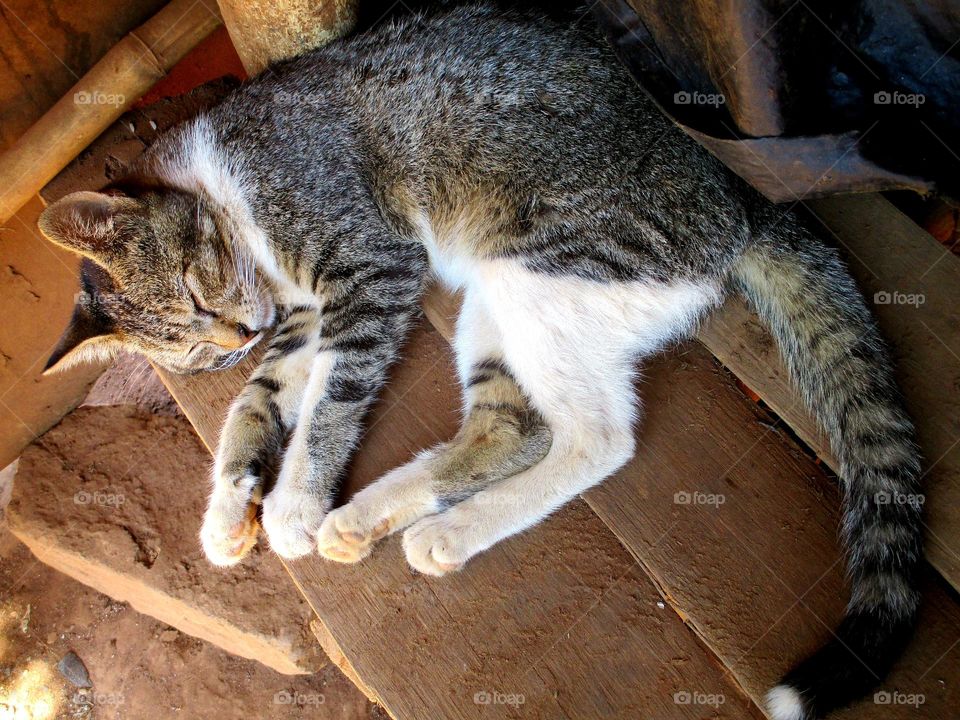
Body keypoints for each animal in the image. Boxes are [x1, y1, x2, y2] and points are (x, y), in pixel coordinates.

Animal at [37, 2, 924, 716]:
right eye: (192, 350)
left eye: (194, 290)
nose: (233, 337)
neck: (225, 187)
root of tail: (743, 200)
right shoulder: (300, 320)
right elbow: (255, 401)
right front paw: (229, 510)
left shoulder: (369, 271)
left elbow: (330, 400)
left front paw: (291, 504)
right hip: (499, 310)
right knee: (512, 429)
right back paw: (380, 518)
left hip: (539, 271)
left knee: (599, 440)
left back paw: (443, 527)